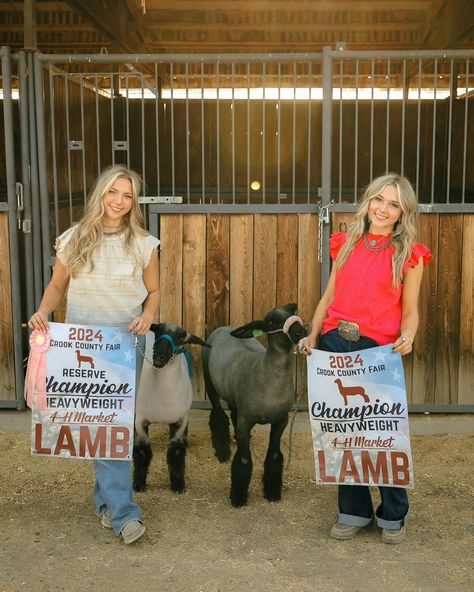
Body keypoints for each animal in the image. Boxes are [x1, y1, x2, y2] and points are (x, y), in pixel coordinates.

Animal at [132, 322, 208, 492]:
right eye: (158, 331)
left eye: (180, 338)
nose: (159, 356)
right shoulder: (139, 420)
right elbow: (142, 451)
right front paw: (139, 484)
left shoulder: (180, 421)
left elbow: (176, 452)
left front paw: (178, 485)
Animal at [203, 302, 308, 506]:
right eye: (271, 321)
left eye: (291, 312)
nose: (301, 331)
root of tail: (224, 327)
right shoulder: (246, 421)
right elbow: (243, 460)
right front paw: (238, 498)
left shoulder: (281, 420)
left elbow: (274, 456)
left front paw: (272, 493)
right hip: (209, 382)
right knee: (218, 414)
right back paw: (223, 453)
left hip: (234, 396)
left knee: (232, 412)